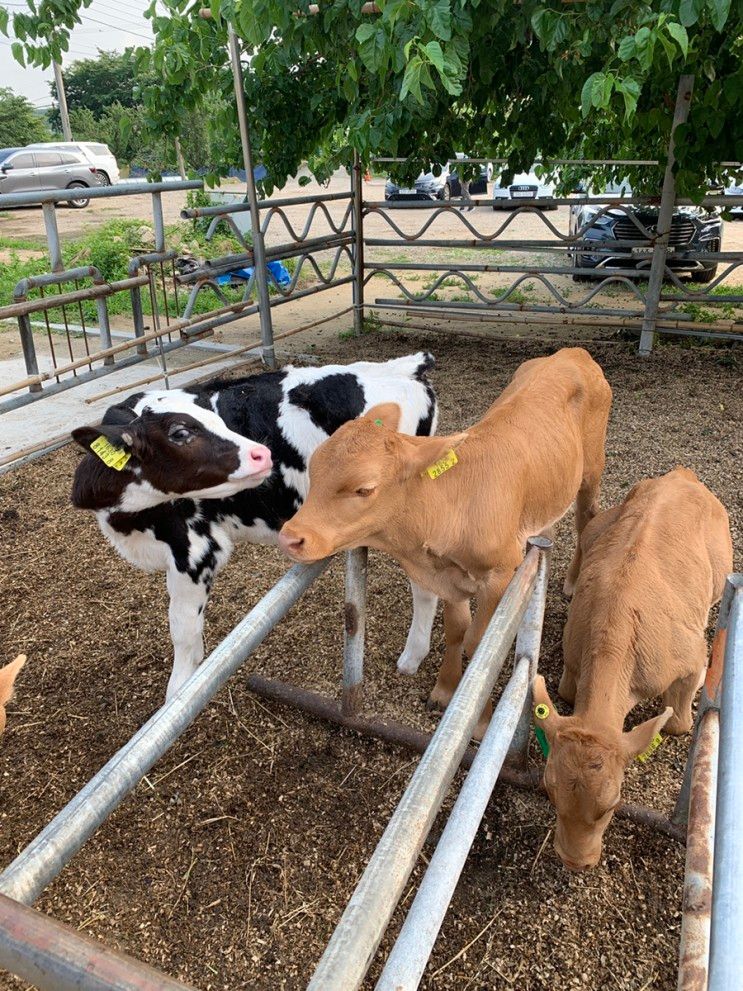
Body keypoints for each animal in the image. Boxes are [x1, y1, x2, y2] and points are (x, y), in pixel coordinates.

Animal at [70, 352, 438, 700]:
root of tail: (403, 367)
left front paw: (179, 696)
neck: (126, 521)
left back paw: (412, 658)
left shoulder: (195, 549)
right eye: (180, 433)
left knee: (426, 586)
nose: (263, 453)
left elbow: (183, 630)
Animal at [280, 344, 612, 732]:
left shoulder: (499, 574)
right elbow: (456, 630)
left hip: (591, 469)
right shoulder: (449, 574)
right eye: (313, 470)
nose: (291, 537)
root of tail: (571, 352)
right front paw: (444, 688)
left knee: (586, 521)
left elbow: (479, 645)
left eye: (364, 489)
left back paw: (573, 581)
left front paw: (479, 719)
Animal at [536, 468, 732, 872]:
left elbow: (679, 724)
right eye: (549, 791)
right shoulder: (572, 660)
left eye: (612, 804)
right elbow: (564, 692)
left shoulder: (691, 658)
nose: (574, 861)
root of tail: (681, 475)